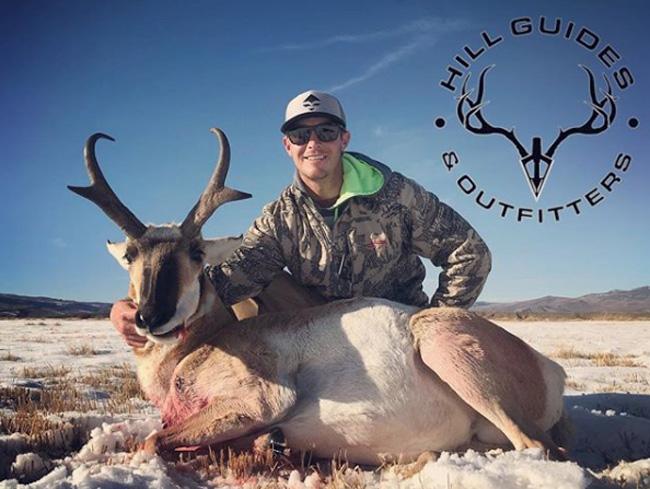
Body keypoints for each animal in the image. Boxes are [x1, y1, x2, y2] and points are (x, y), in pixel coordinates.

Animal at [69, 129, 568, 464]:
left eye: (195, 252)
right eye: (131, 254)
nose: (148, 317)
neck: (200, 346)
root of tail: (551, 369)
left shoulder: (261, 401)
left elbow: (152, 440)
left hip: (443, 346)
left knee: (537, 447)